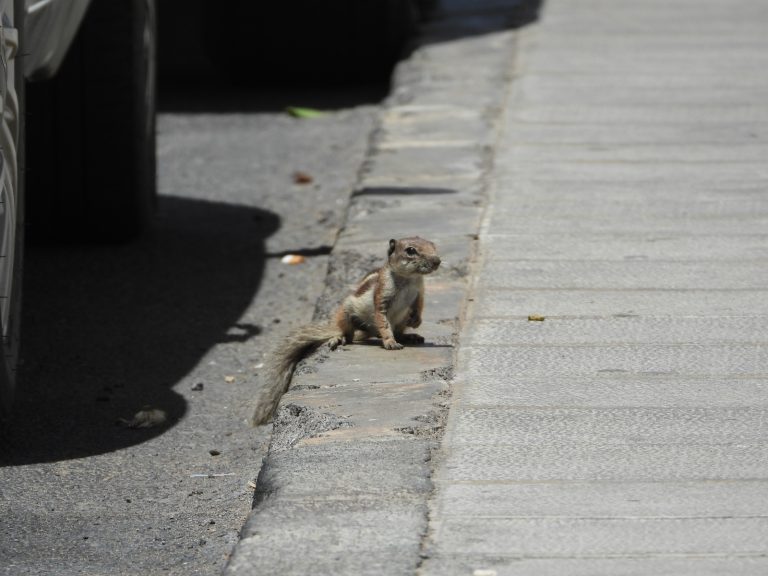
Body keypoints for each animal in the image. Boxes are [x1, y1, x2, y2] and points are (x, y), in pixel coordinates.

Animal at [251, 237, 441, 425]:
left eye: (433, 246)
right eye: (410, 250)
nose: (437, 261)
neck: (409, 279)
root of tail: (368, 332)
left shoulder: (420, 292)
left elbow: (419, 306)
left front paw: (416, 321)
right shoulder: (381, 297)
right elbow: (383, 322)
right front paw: (390, 342)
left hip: (399, 320)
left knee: (396, 330)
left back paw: (410, 336)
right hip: (346, 312)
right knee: (347, 333)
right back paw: (338, 337)